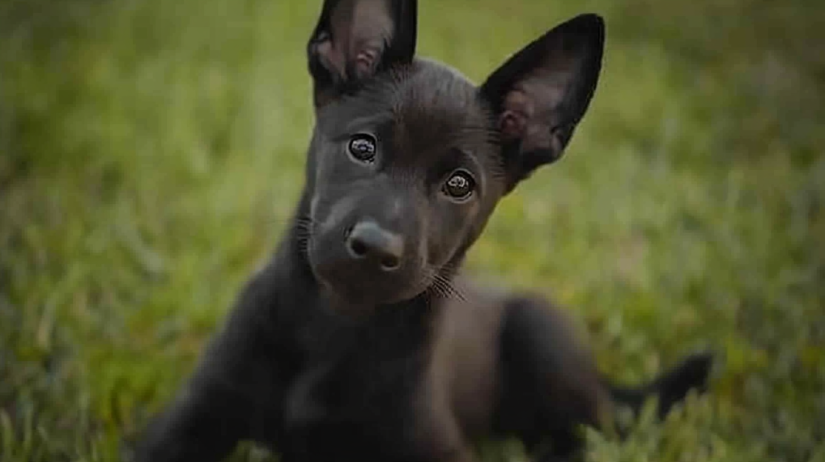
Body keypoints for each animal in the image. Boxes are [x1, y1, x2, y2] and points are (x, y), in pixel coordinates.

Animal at [132, 0, 712, 462]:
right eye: (362, 147)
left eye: (459, 185)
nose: (375, 249)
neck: (337, 324)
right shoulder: (192, 416)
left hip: (540, 332)